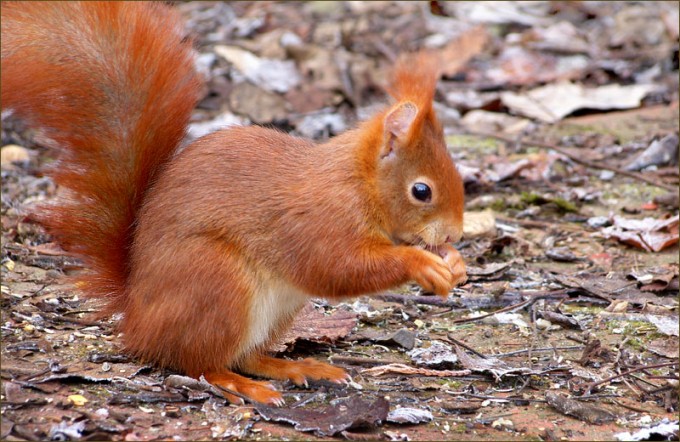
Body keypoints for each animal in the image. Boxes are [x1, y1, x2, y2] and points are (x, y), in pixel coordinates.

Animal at [1, 2, 467, 405]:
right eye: (421, 191)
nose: (456, 233)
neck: (360, 184)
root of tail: (136, 316)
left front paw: (456, 263)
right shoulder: (318, 220)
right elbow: (335, 268)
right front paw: (421, 263)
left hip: (277, 310)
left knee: (246, 355)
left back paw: (293, 368)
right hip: (218, 283)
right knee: (199, 363)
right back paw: (241, 385)